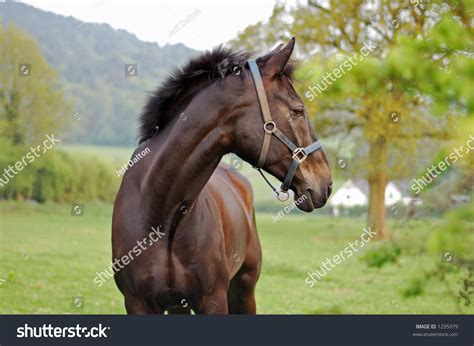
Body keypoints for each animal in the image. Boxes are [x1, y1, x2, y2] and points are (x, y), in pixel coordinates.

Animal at [111, 37, 334, 314]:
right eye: (298, 110)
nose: (326, 183)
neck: (160, 214)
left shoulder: (213, 300)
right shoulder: (137, 303)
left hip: (244, 291)